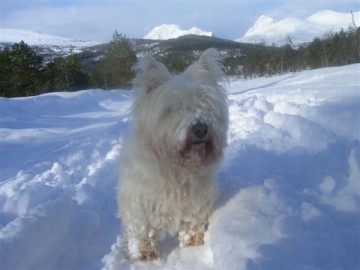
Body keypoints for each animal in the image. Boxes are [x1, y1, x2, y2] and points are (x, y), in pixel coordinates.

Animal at [117, 48, 228, 262]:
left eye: (206, 105)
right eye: (172, 109)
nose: (200, 128)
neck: (175, 165)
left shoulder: (197, 197)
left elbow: (193, 219)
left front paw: (192, 242)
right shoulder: (139, 196)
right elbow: (142, 226)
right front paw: (144, 253)